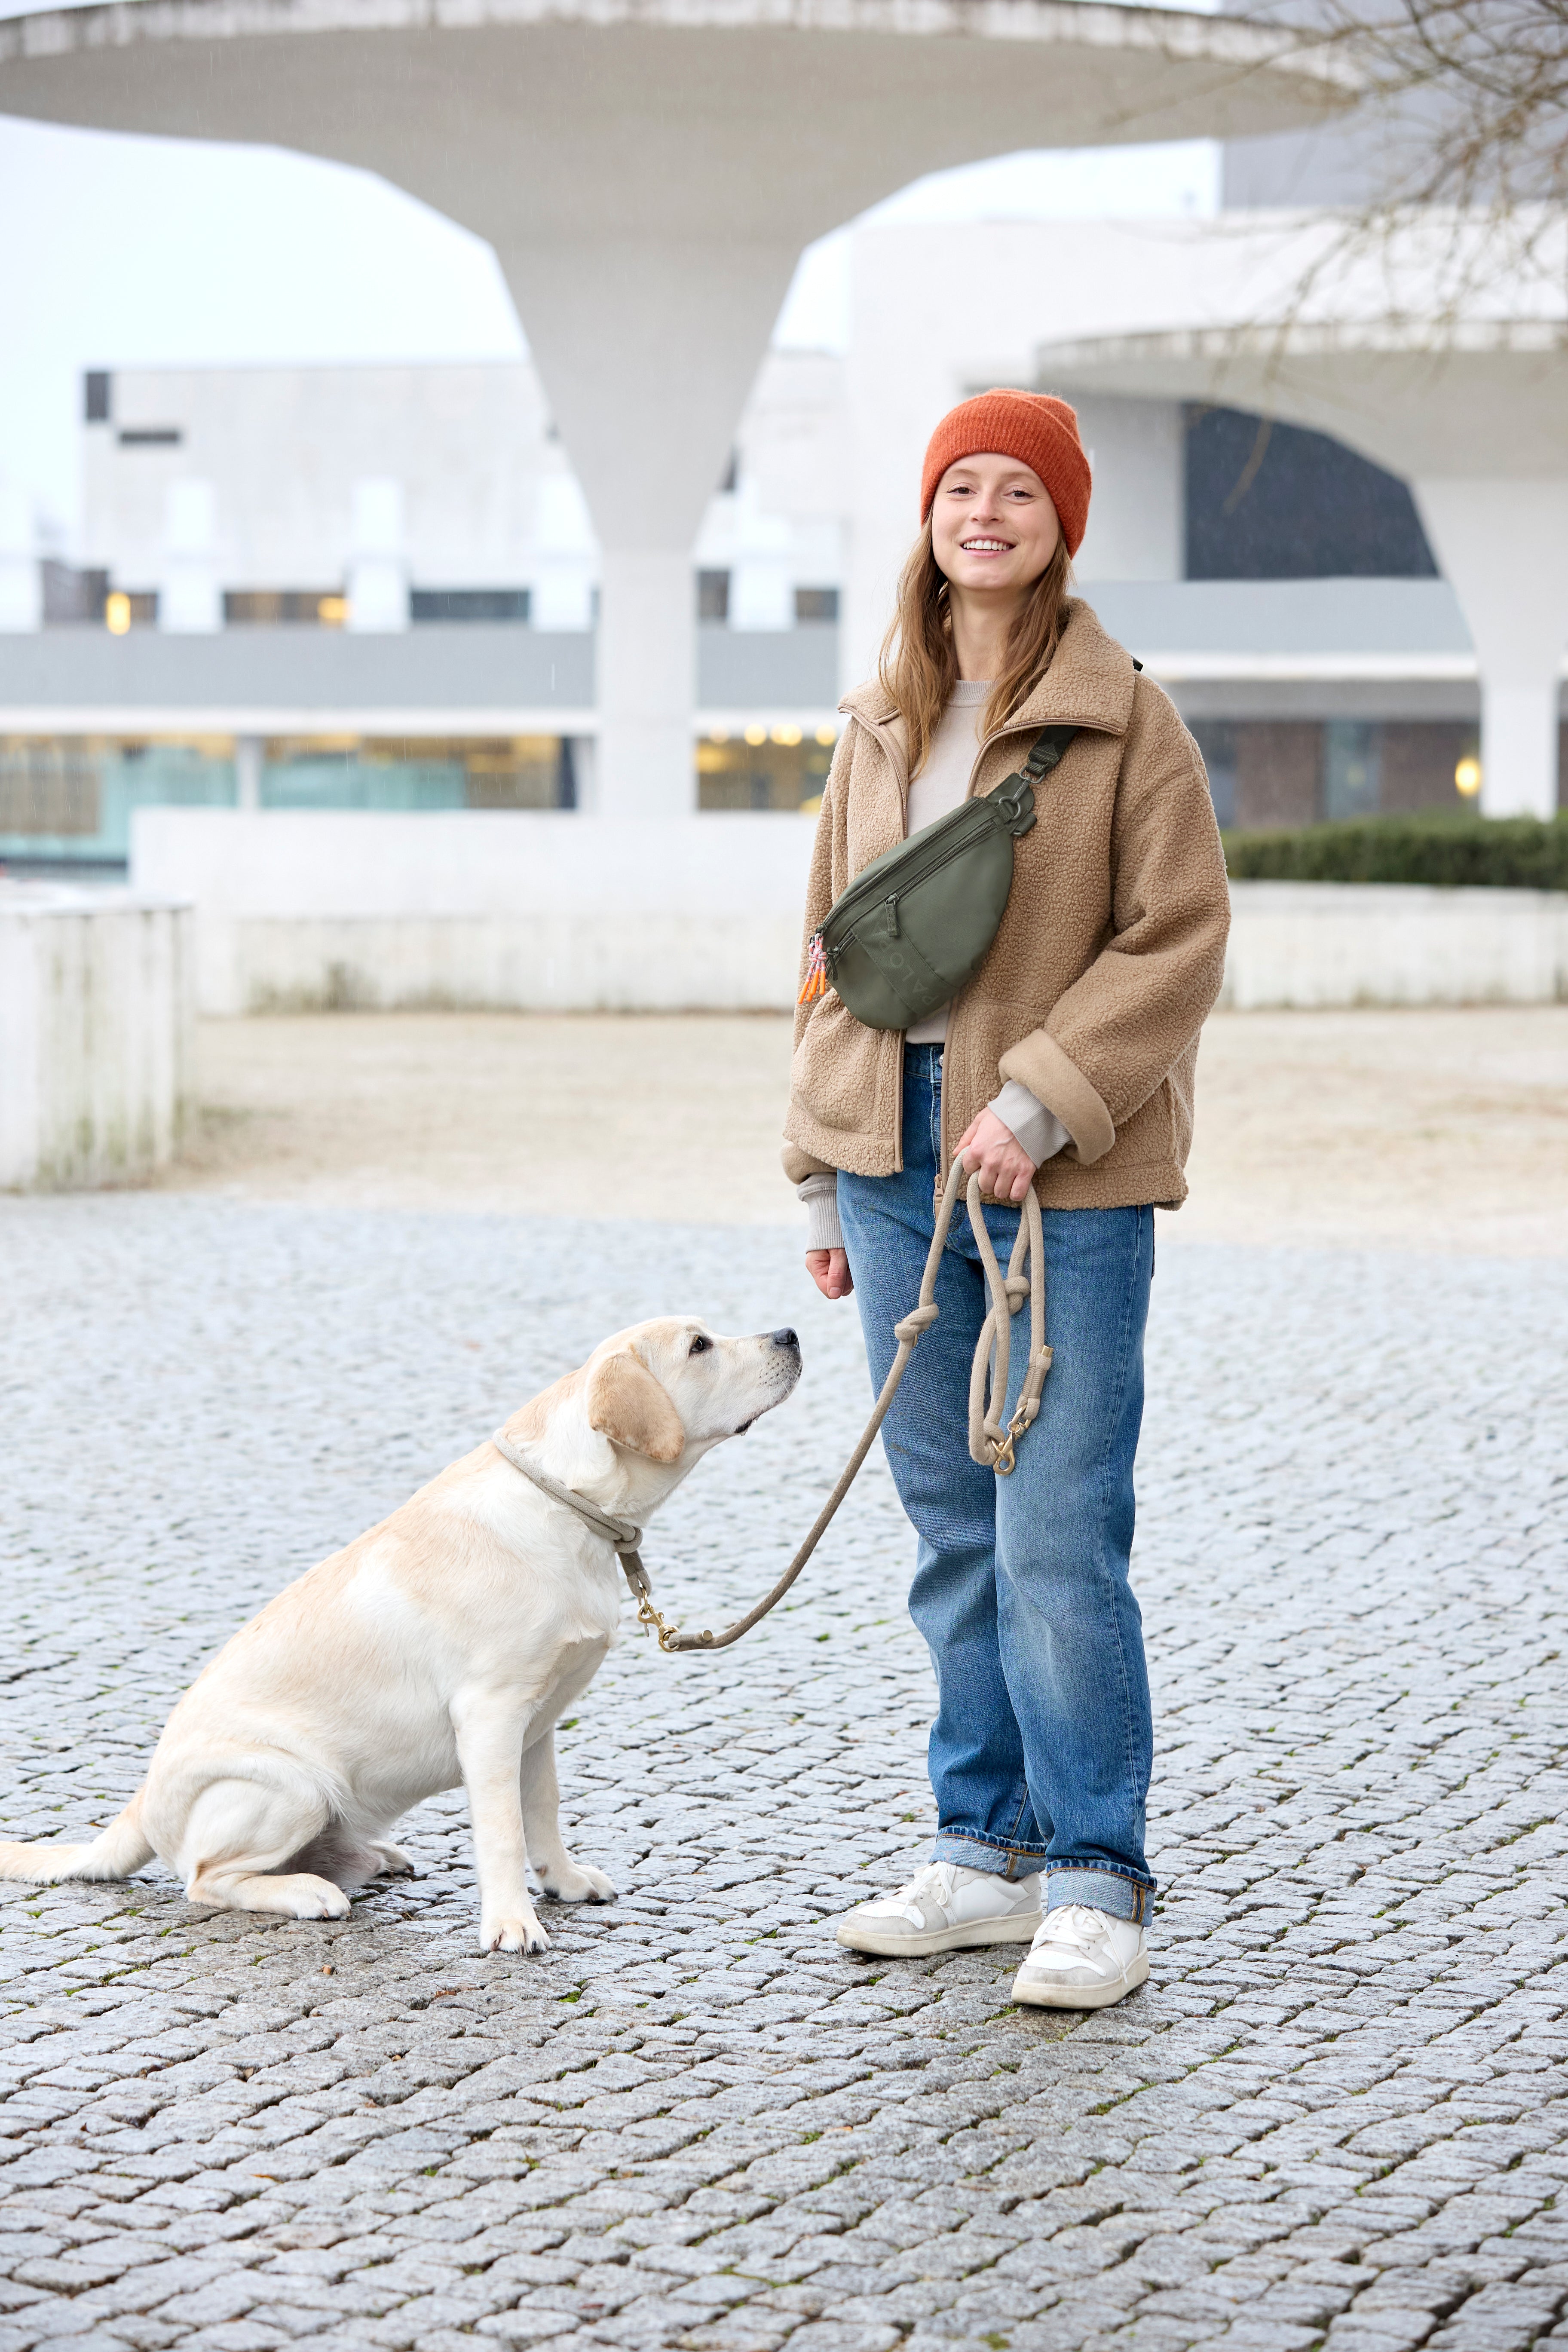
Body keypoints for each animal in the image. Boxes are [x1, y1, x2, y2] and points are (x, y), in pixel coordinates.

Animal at [0, 1326, 804, 1947]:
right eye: (699, 1345)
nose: (790, 1334)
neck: (564, 1506)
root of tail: (141, 1803)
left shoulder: (539, 1723)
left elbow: (542, 1813)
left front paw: (565, 1882)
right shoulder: (490, 1714)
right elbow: (503, 1830)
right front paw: (511, 1925)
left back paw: (369, 1858)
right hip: (291, 1782)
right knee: (205, 1879)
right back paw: (306, 1892)